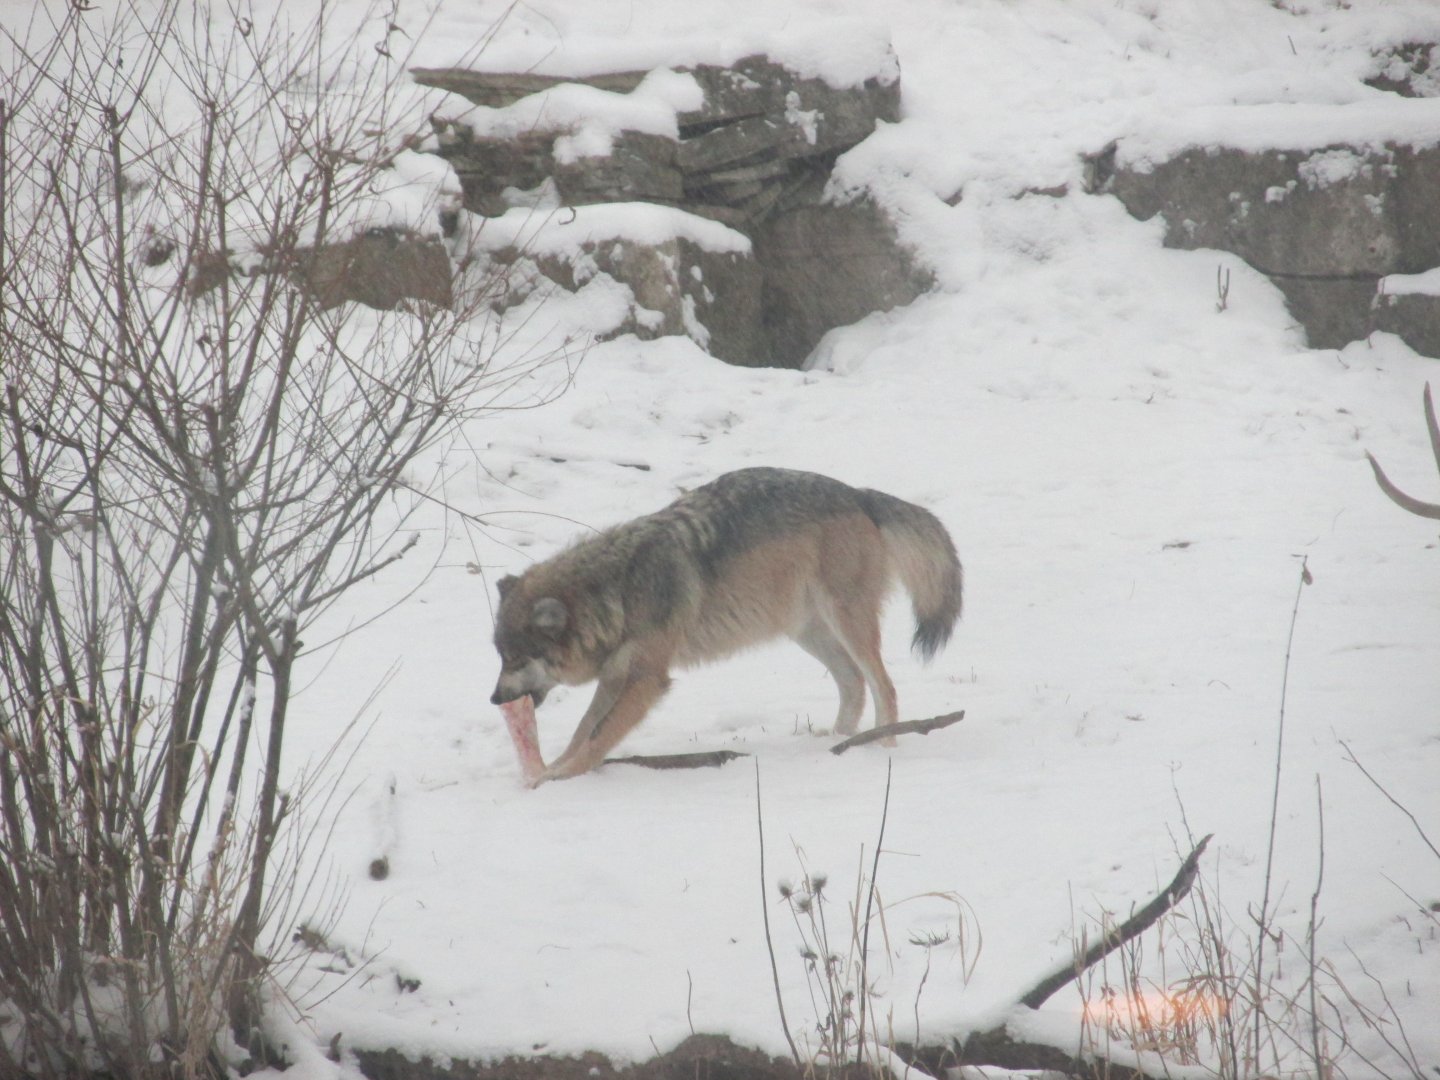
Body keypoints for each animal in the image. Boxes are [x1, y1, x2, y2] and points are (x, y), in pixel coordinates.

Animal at [490, 467, 962, 784]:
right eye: (501, 658)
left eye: (517, 659)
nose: (494, 698)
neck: (617, 590)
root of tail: (858, 494)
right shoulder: (615, 676)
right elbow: (582, 731)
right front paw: (551, 768)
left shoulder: (647, 679)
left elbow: (599, 737)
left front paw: (558, 778)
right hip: (807, 631)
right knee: (854, 683)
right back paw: (835, 743)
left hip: (846, 623)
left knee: (884, 687)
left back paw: (883, 748)